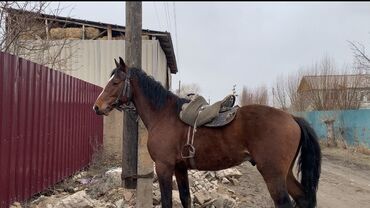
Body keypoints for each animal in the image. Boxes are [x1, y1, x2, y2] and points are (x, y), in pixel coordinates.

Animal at [92, 57, 320, 208]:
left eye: (115, 82)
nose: (97, 107)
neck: (163, 115)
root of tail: (292, 118)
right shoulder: (180, 168)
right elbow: (185, 198)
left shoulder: (164, 167)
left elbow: (167, 202)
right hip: (285, 173)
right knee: (303, 198)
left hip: (273, 174)